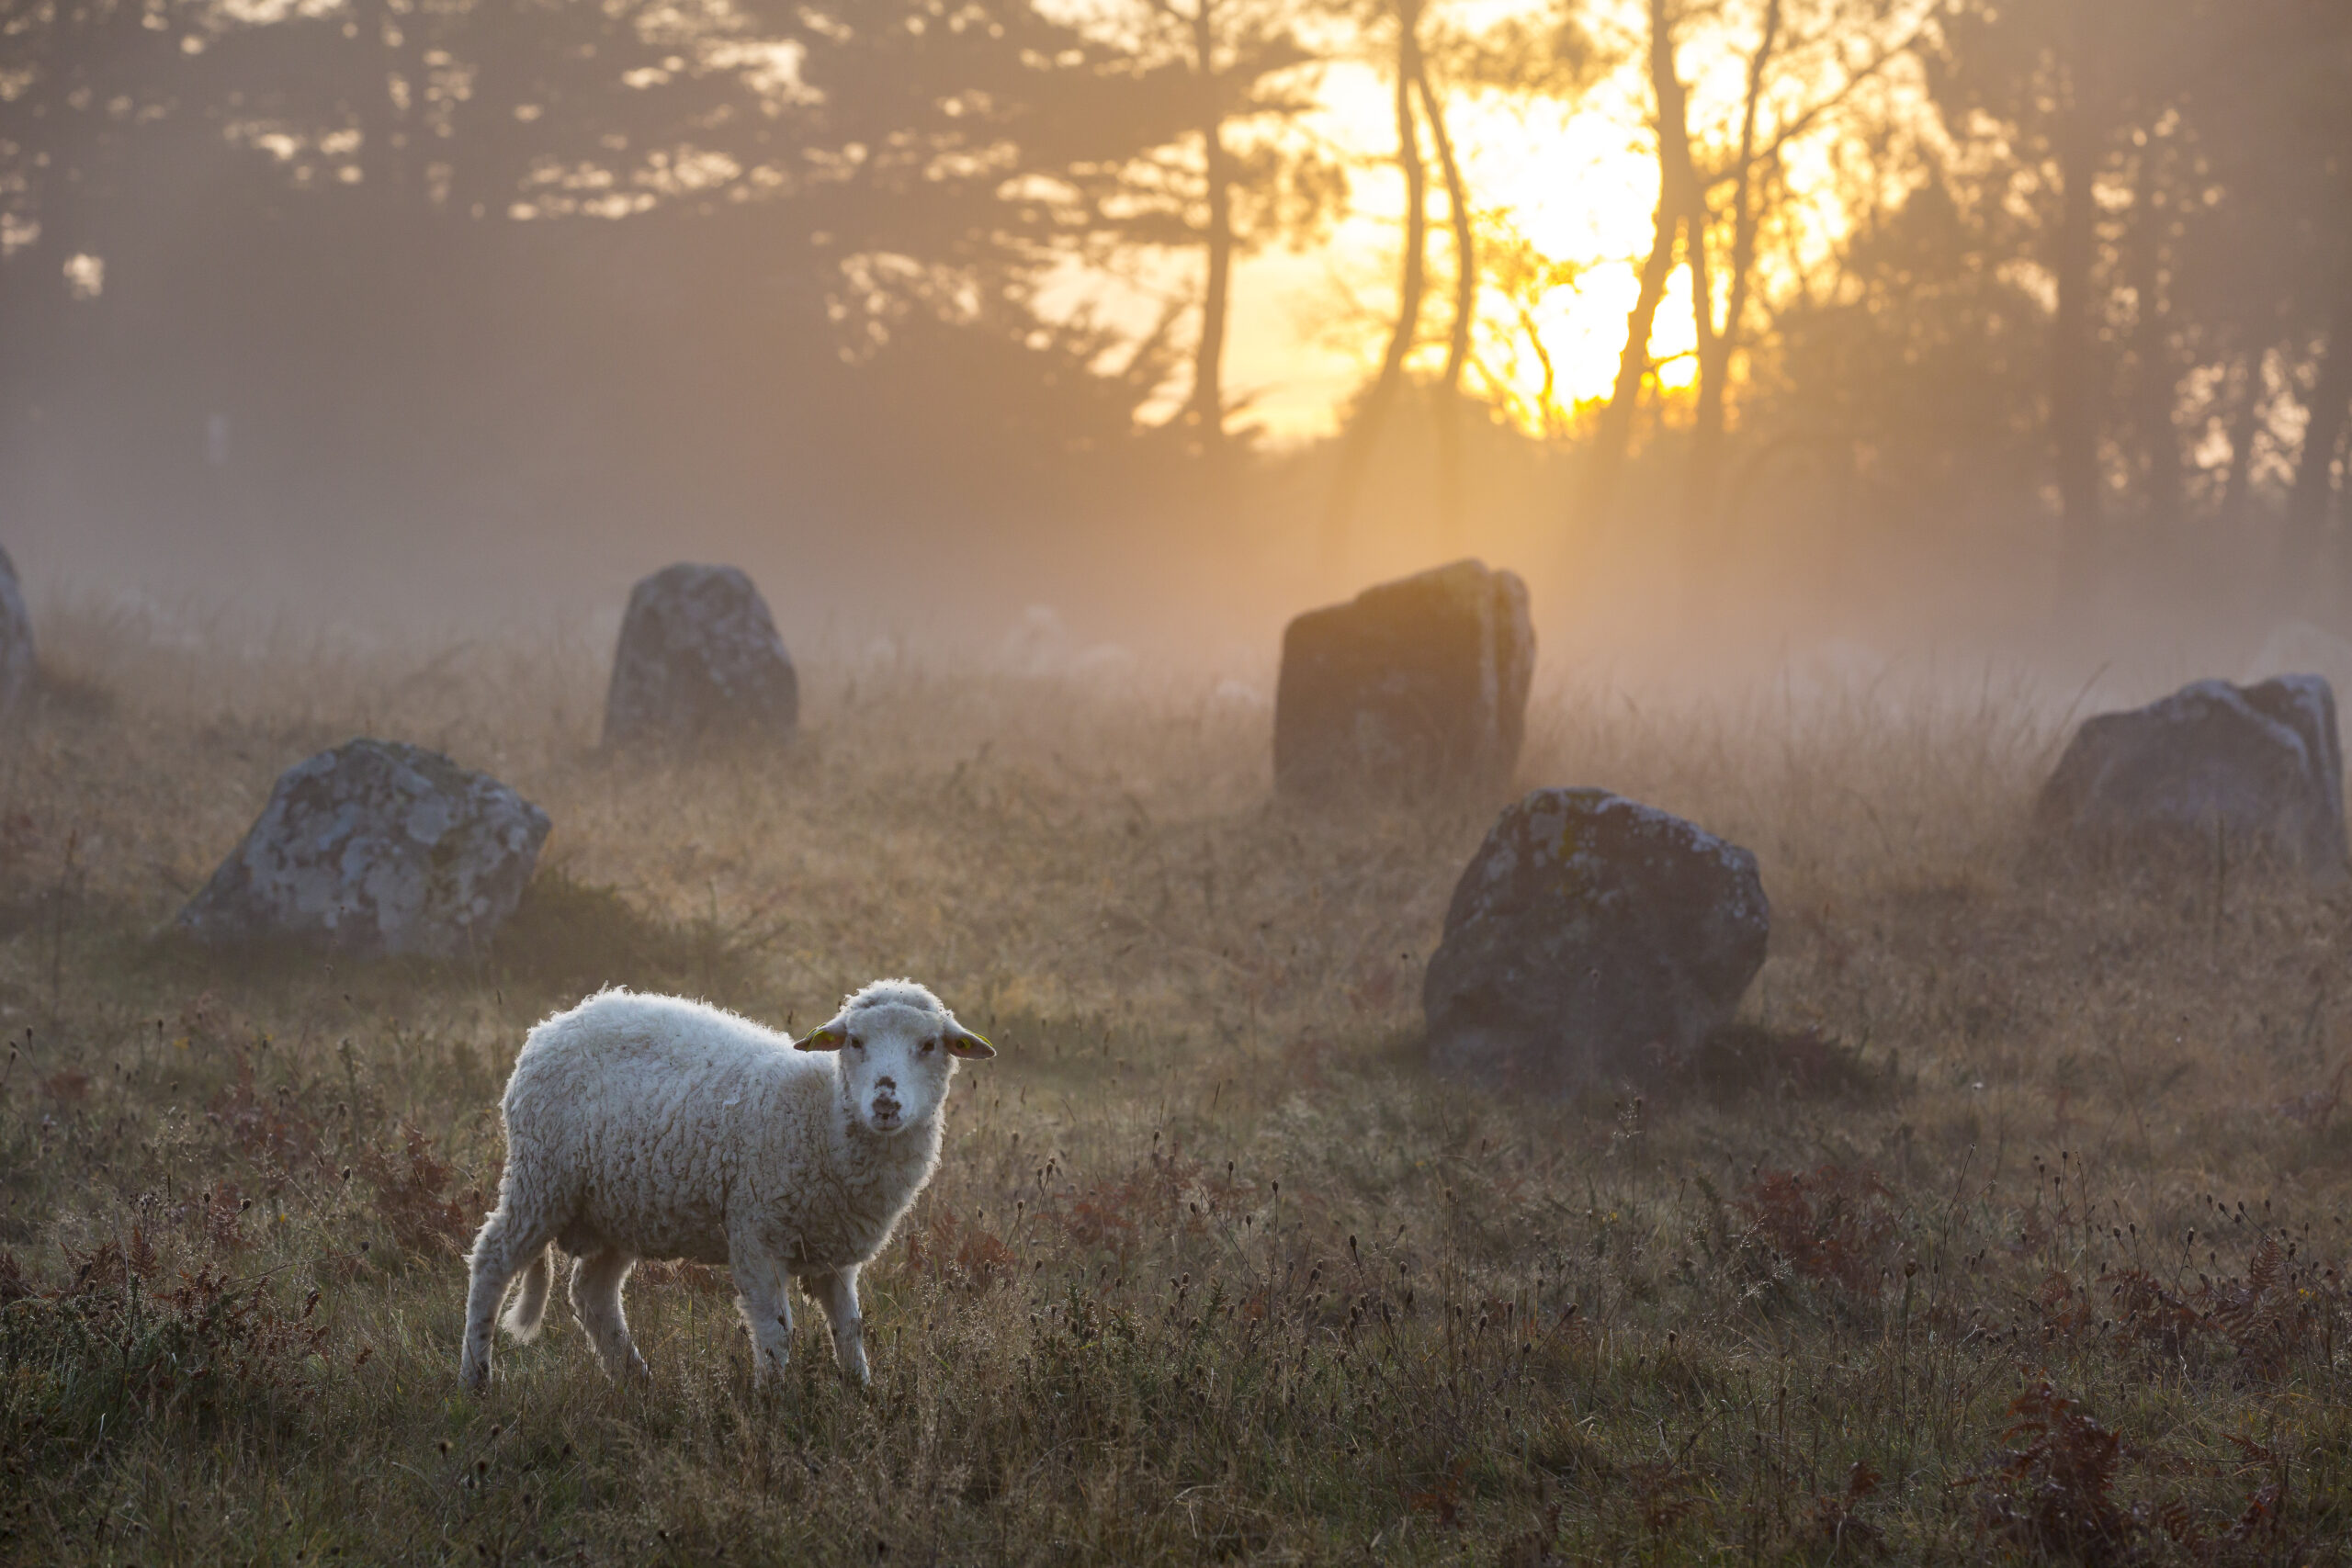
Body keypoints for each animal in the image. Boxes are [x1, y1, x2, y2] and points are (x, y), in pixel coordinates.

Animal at [458, 973, 992, 1392]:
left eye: (929, 1045)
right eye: (855, 1042)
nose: (885, 1104)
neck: (822, 1116)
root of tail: (554, 1024)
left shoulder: (834, 1253)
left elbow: (849, 1328)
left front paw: (861, 1393)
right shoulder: (756, 1232)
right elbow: (777, 1332)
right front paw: (775, 1404)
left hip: (619, 1207)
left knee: (593, 1294)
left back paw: (638, 1382)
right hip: (540, 1179)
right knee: (492, 1261)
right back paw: (476, 1379)